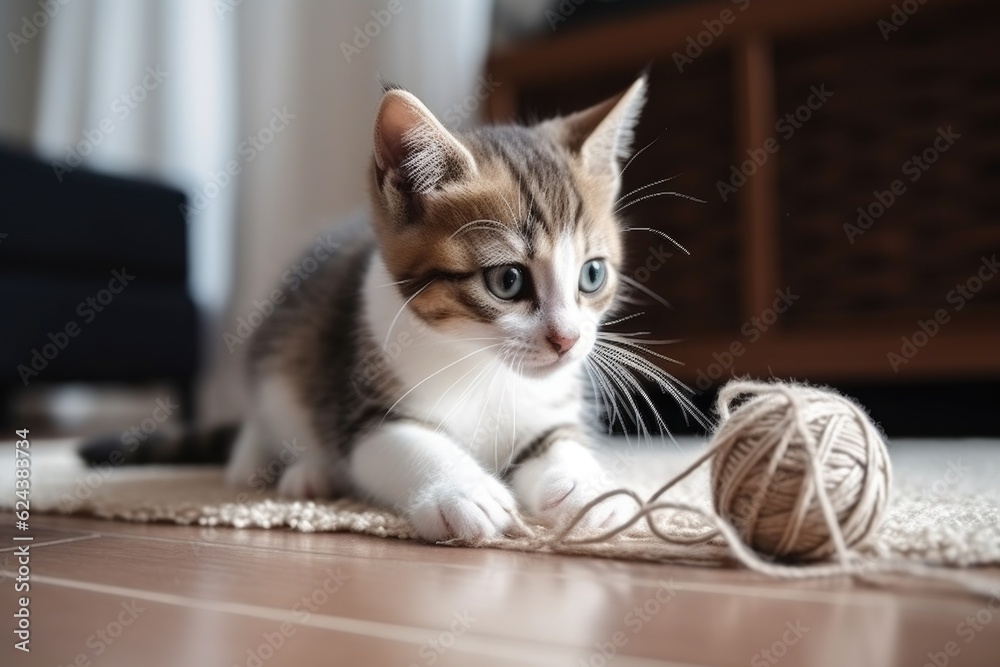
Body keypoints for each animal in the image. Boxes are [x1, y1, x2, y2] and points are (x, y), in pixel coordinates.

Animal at [223, 75, 684, 544]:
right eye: (508, 281)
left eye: (592, 274)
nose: (567, 339)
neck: (481, 364)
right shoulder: (362, 406)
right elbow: (405, 444)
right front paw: (463, 490)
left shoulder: (550, 405)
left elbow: (562, 442)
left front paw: (589, 489)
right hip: (282, 348)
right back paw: (281, 470)